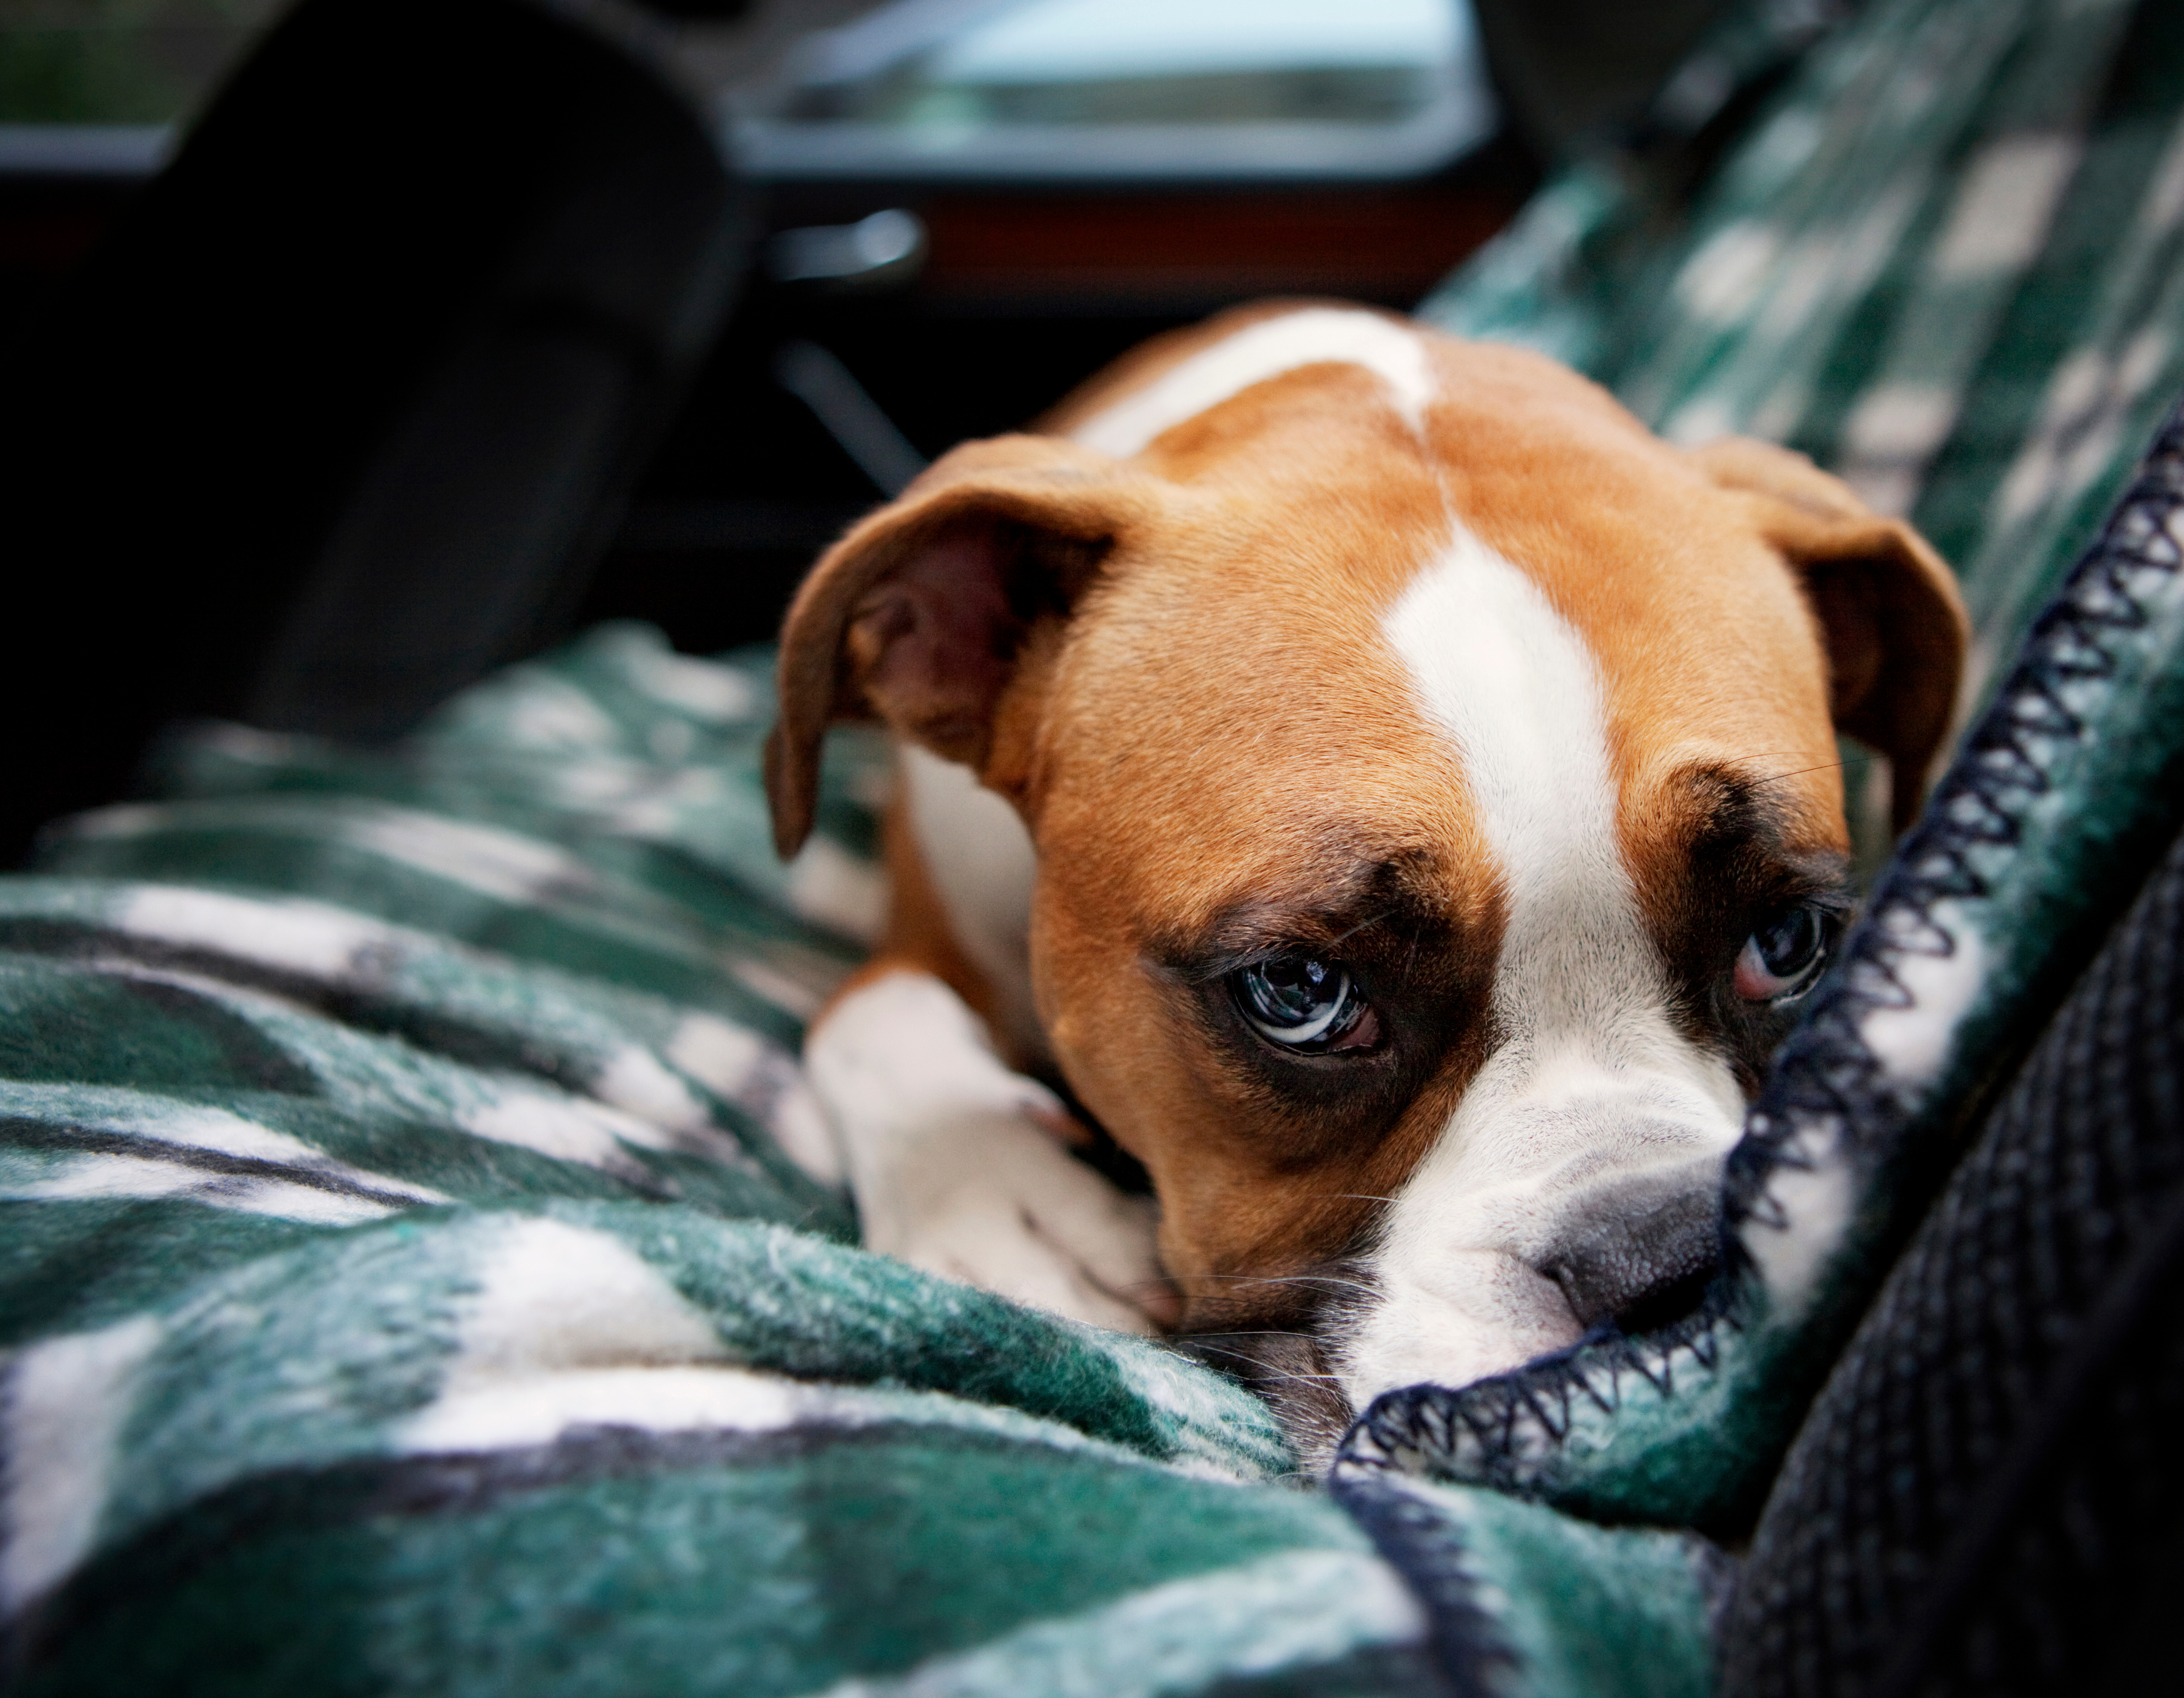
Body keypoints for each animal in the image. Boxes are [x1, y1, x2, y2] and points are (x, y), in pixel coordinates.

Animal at [768, 301, 1965, 1440]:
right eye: (1298, 991)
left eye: (1786, 943)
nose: (1659, 1254)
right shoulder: (922, 941)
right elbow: (867, 1021)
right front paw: (1001, 1212)